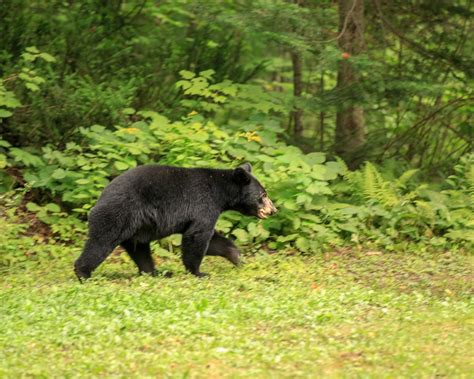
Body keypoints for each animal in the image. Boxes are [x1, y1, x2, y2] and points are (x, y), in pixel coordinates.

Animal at [74, 163, 278, 280]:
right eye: (263, 195)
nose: (273, 210)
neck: (221, 192)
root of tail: (100, 197)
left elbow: (213, 240)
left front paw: (236, 258)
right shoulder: (204, 204)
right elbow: (197, 237)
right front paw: (199, 272)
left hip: (137, 227)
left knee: (139, 250)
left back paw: (156, 272)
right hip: (119, 213)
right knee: (101, 242)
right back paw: (83, 273)